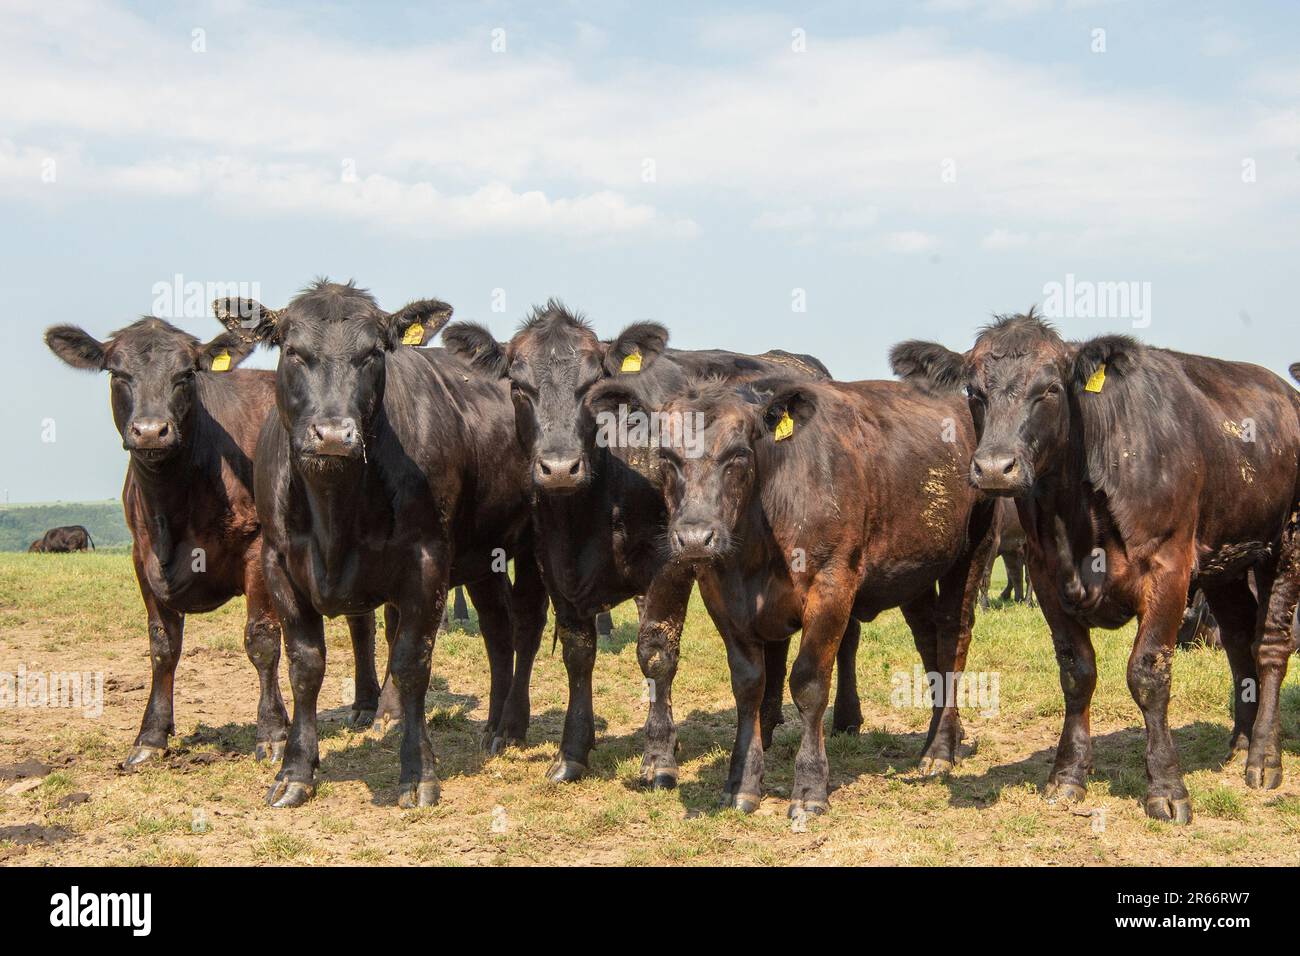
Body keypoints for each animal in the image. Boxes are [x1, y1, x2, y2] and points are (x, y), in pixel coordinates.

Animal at [45, 317, 379, 764]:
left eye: (186, 374)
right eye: (117, 373)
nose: (150, 431)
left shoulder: (259, 549)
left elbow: (261, 640)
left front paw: (272, 732)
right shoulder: (141, 556)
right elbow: (162, 645)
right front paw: (150, 736)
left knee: (364, 623)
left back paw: (370, 706)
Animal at [220, 282, 546, 806]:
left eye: (373, 354)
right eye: (293, 351)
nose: (333, 434)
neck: (335, 511)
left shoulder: (427, 561)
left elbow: (411, 661)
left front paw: (417, 773)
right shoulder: (278, 563)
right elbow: (304, 665)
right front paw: (295, 770)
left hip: (535, 542)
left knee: (527, 625)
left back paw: (513, 725)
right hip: (483, 557)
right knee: (498, 630)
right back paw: (494, 726)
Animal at [441, 303, 847, 790]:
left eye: (592, 388)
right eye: (519, 388)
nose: (559, 467)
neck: (585, 512)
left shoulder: (670, 562)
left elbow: (656, 653)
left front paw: (658, 757)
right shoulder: (551, 564)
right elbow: (578, 655)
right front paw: (572, 753)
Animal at [585, 374, 998, 816]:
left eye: (739, 454)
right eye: (665, 455)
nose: (695, 538)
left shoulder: (831, 586)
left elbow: (809, 684)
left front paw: (810, 788)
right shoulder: (721, 595)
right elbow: (749, 685)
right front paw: (741, 783)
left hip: (973, 550)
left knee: (953, 639)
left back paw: (940, 750)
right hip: (913, 572)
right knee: (928, 642)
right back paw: (940, 736)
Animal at [894, 314, 1300, 822]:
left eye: (1050, 389)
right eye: (973, 390)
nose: (993, 468)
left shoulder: (1169, 569)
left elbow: (1148, 674)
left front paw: (1166, 787)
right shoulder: (1046, 575)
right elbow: (1077, 673)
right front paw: (1067, 776)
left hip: (1285, 545)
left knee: (1270, 647)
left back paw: (1263, 758)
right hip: (1226, 564)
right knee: (1239, 641)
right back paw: (1240, 743)